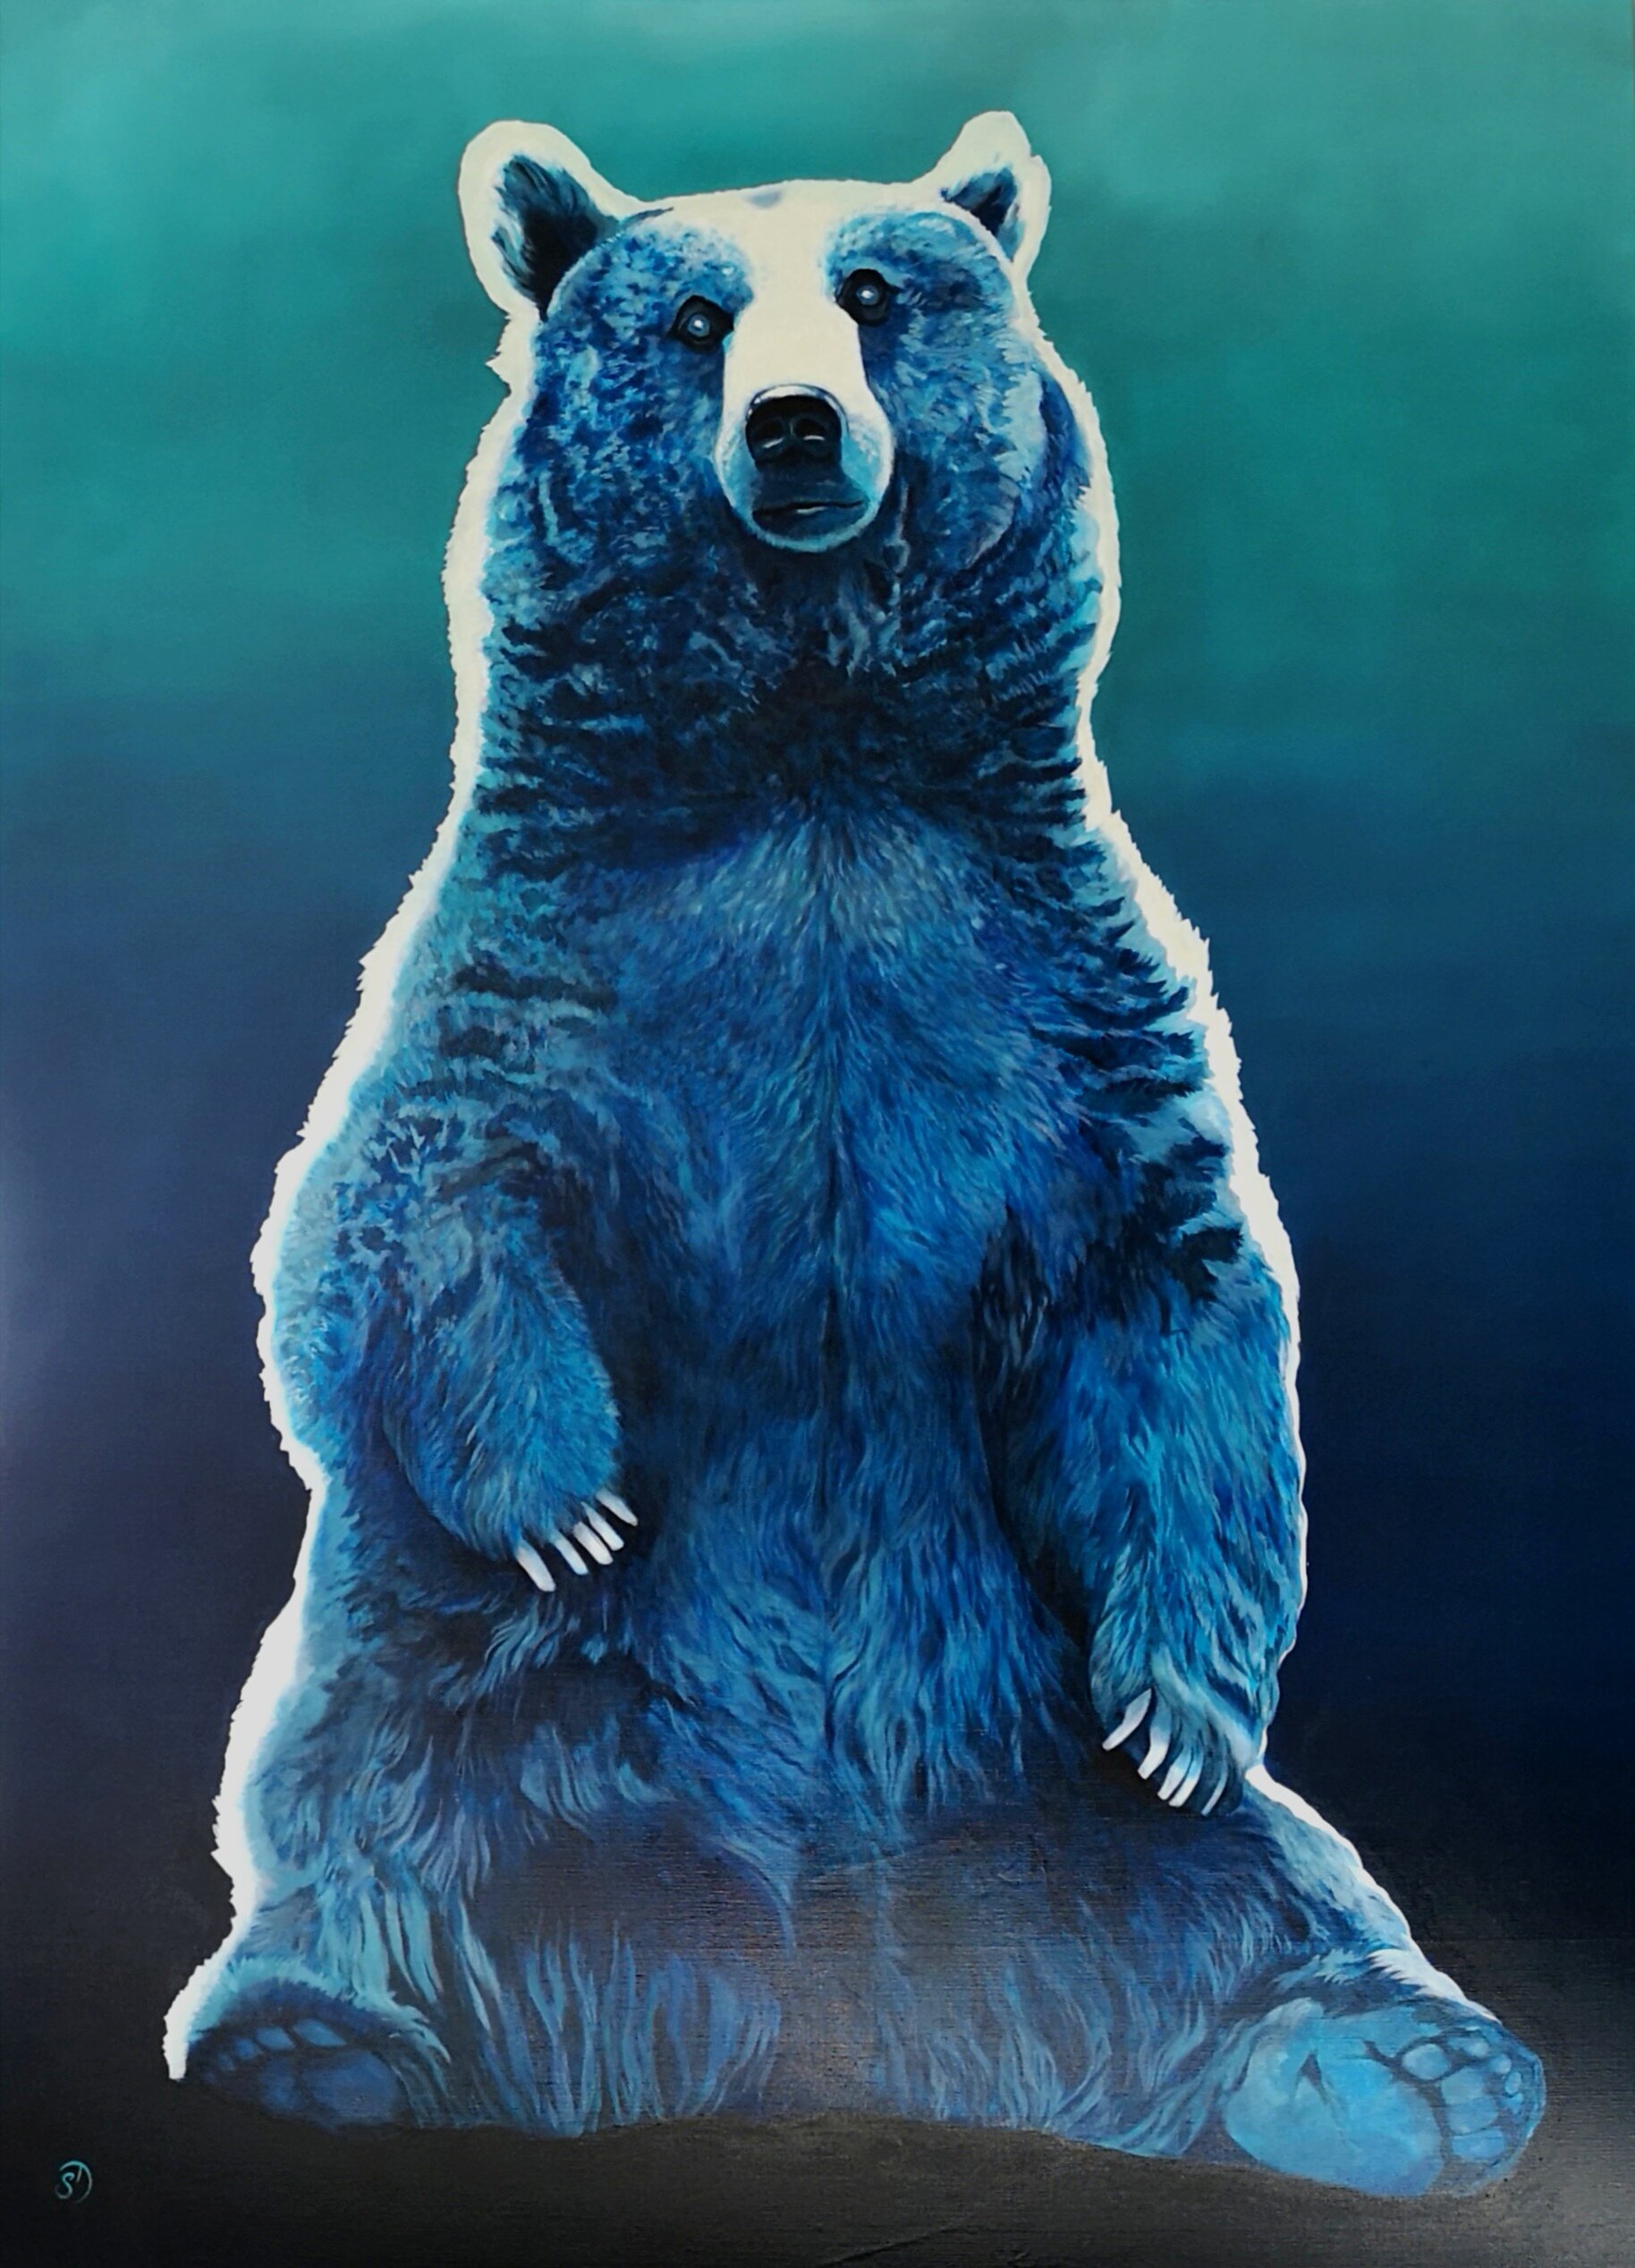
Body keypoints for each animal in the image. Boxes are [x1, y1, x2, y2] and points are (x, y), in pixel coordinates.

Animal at [166, 113, 1544, 2198]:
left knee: (1268, 1887)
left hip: (1028, 1750)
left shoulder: (1049, 987)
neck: (813, 749)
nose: (800, 423)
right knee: (372, 1841)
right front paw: (568, 1496)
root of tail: (821, 1999)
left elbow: (1168, 1285)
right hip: (463, 1711)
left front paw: (1187, 1693)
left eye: (879, 292)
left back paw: (1421, 2071)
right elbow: (396, 1211)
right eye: (695, 317)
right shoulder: (546, 958)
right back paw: (318, 2046)